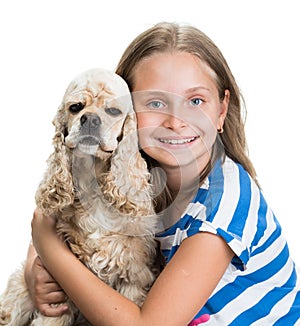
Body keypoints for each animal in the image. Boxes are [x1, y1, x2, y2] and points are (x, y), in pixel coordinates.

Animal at [0, 67, 162, 324]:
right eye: (75, 107)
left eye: (113, 111)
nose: (91, 119)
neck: (93, 188)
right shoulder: (57, 285)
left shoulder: (133, 275)